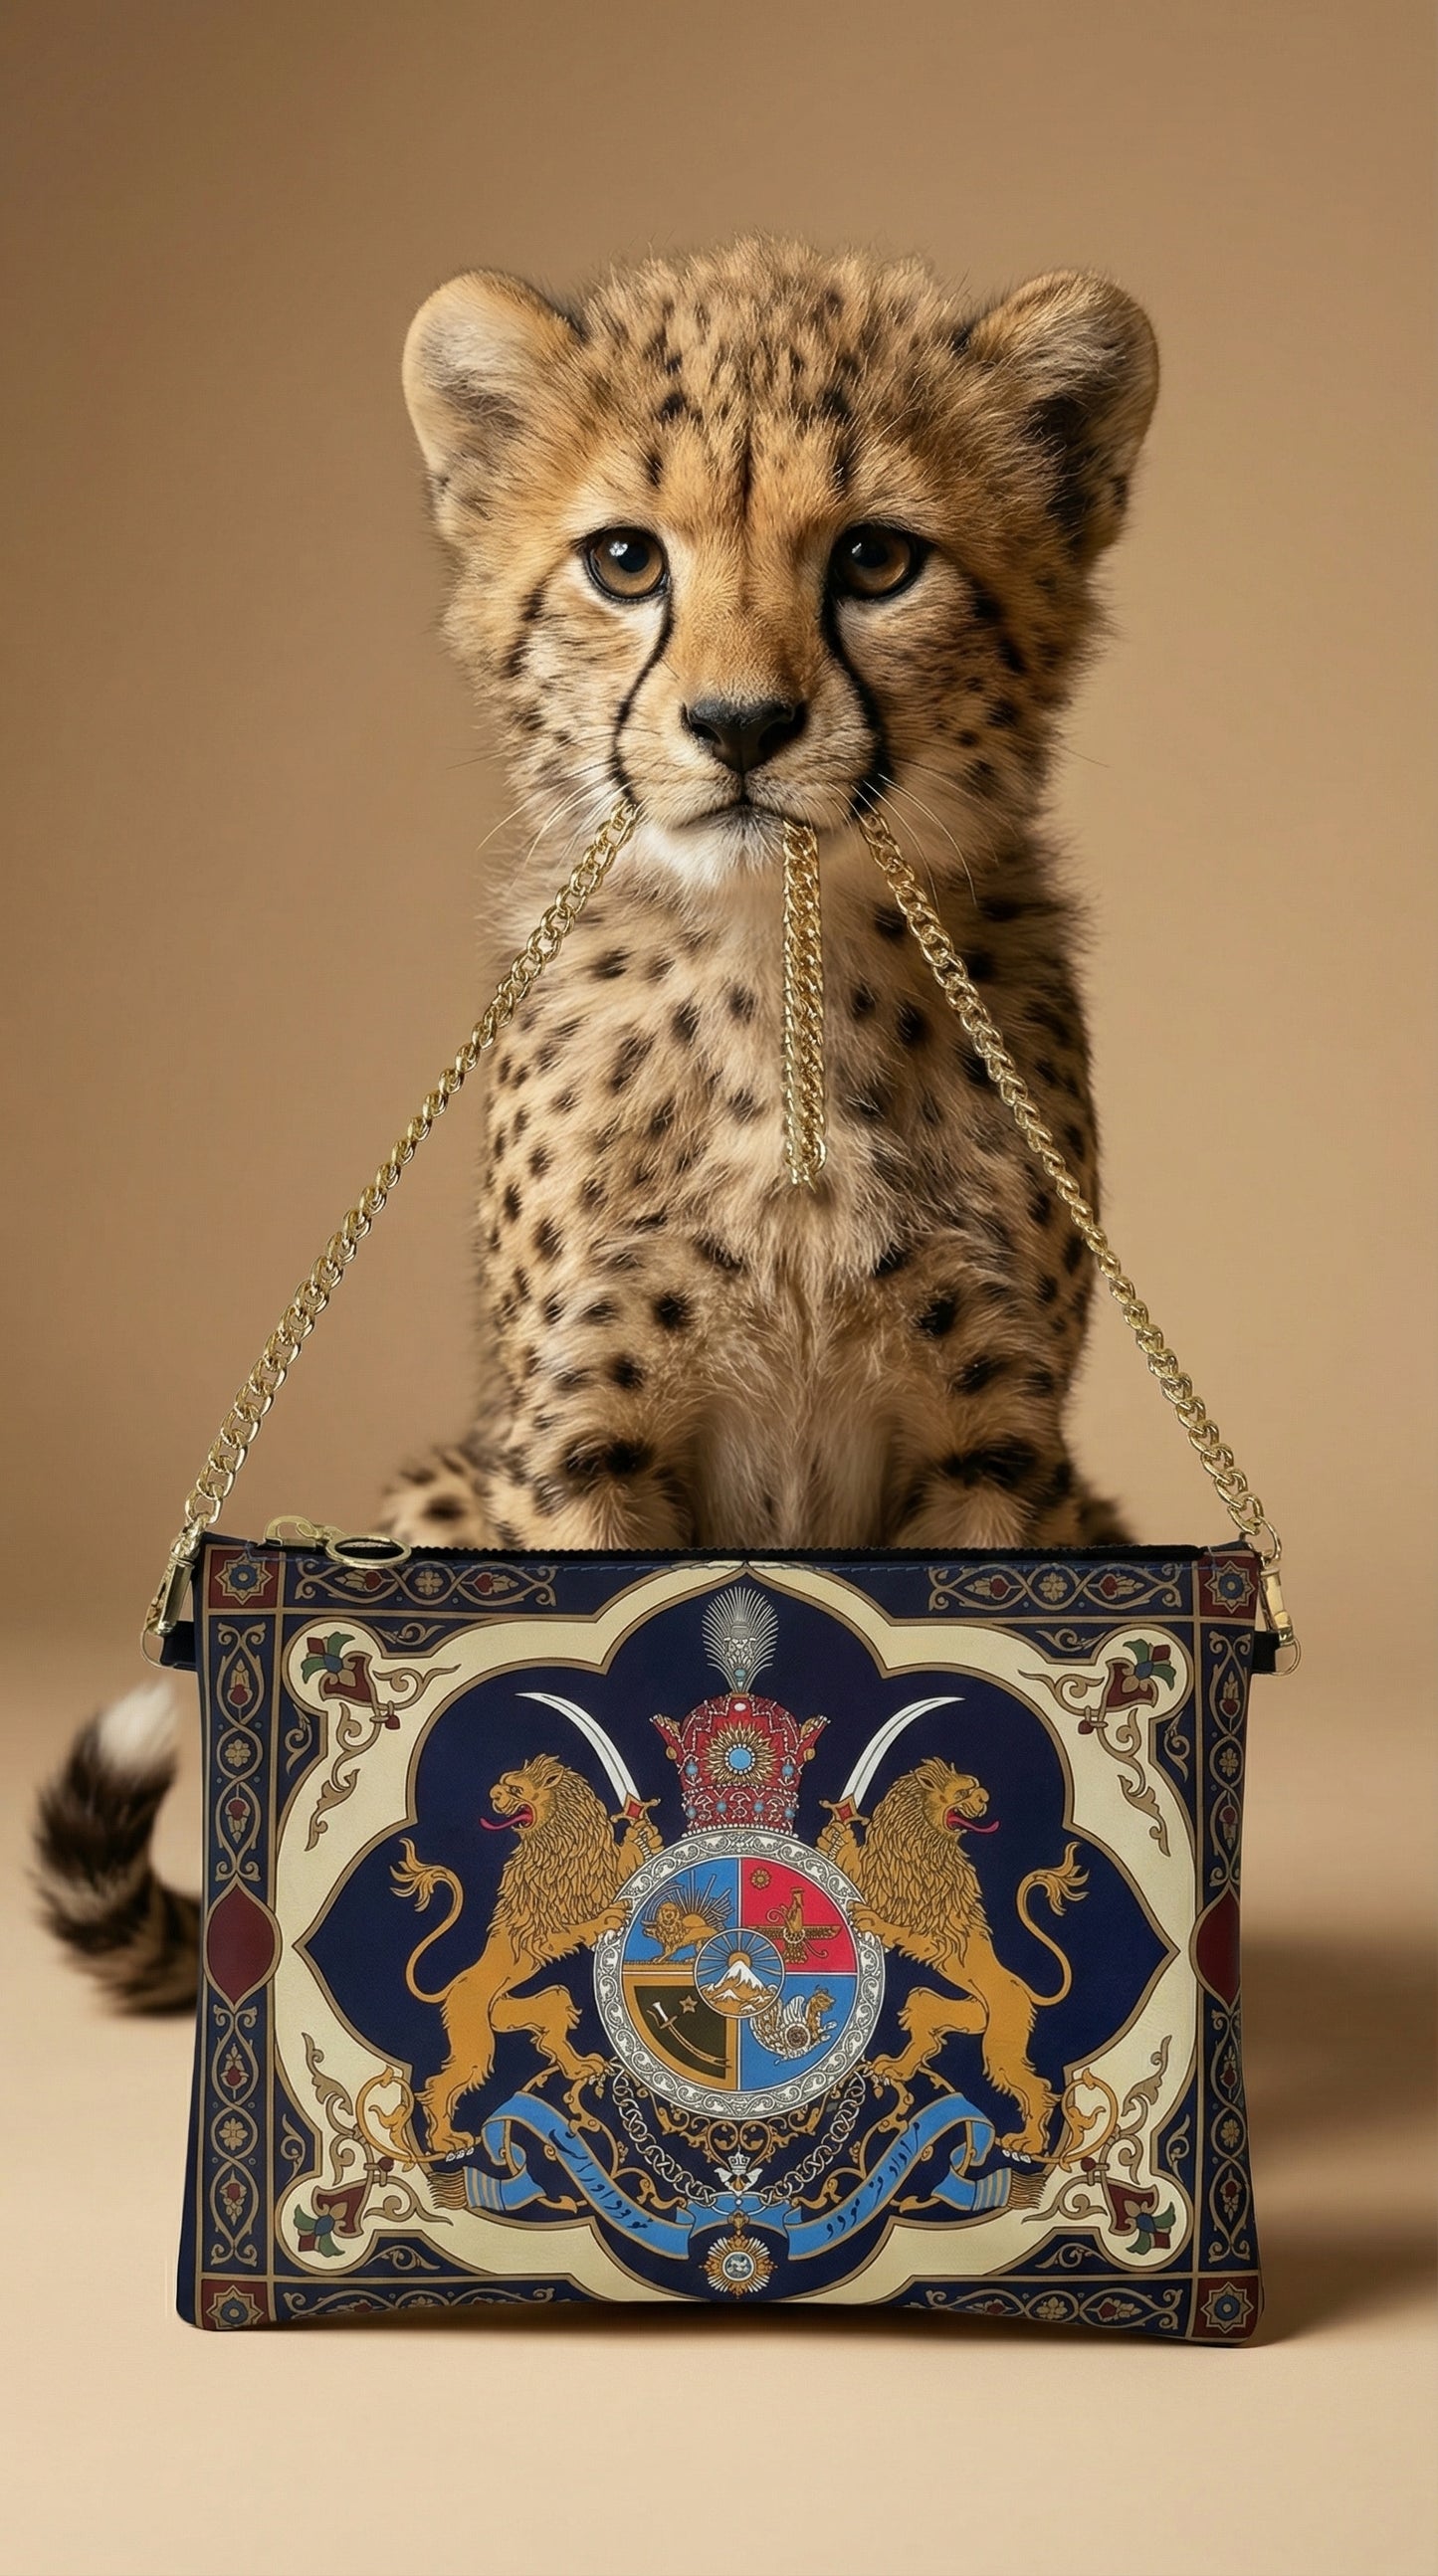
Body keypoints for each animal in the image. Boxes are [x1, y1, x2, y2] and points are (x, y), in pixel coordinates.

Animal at [392, 1753, 659, 2151]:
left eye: (515, 1788)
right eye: (505, 1784)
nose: (492, 1793)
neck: (559, 1841)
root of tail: (454, 1985)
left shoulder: (601, 1878)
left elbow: (622, 1867)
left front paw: (645, 1835)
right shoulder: (539, 1933)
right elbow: (574, 1929)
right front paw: (605, 1920)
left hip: (519, 2010)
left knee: (551, 2028)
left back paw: (580, 2066)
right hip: (475, 2038)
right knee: (441, 2083)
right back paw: (445, 2140)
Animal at [819, 1757, 1086, 2156]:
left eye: (973, 1787)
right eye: (963, 1791)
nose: (986, 1796)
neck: (919, 1845)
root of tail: (1021, 1986)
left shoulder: (940, 1937)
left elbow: (906, 1932)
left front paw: (874, 1922)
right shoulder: (877, 1881)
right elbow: (855, 1868)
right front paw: (835, 1834)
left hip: (1000, 2040)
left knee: (1035, 2087)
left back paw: (1028, 2141)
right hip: (955, 2011)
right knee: (926, 2027)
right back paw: (896, 2068)